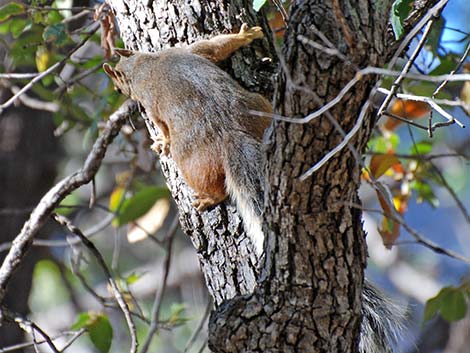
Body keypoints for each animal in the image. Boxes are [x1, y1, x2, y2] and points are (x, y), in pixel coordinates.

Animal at [103, 22, 272, 253]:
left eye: (118, 88)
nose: (119, 91)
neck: (144, 65)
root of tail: (232, 135)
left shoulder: (150, 104)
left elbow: (161, 126)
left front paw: (163, 142)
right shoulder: (190, 51)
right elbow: (215, 47)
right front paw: (245, 35)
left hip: (193, 164)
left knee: (211, 185)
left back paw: (208, 198)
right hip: (260, 106)